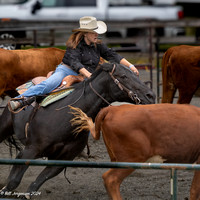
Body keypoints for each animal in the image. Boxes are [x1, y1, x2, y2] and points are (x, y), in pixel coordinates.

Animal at [0, 63, 155, 198]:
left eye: (136, 74)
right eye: (123, 76)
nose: (151, 95)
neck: (65, 118)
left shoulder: (62, 160)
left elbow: (35, 184)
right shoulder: (30, 150)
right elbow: (13, 181)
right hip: (5, 126)